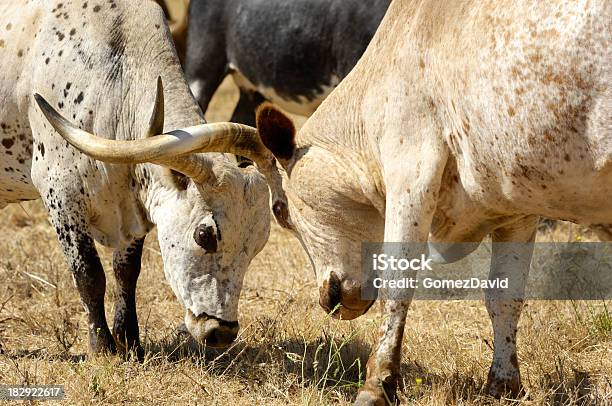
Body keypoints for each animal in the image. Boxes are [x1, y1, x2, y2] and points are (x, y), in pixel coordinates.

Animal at [0, 0, 282, 354]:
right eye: (205, 235)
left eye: (257, 245)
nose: (222, 332)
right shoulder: (61, 197)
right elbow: (89, 275)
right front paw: (102, 345)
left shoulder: (133, 206)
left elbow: (126, 271)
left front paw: (129, 340)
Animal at [233, 0, 608, 404]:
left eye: (280, 211)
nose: (328, 297)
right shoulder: (516, 209)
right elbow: (505, 297)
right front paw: (503, 384)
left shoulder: (411, 174)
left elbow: (397, 285)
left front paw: (378, 382)